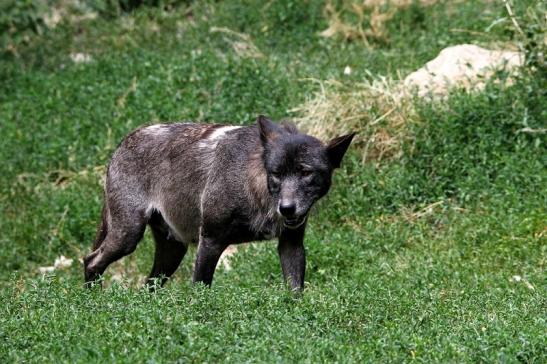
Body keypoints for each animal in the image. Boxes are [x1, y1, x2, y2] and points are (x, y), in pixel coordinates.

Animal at [82, 115, 356, 292]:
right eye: (276, 174)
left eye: (306, 173)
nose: (287, 208)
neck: (254, 185)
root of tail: (123, 143)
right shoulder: (211, 241)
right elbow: (199, 291)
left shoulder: (291, 244)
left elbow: (295, 291)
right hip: (128, 236)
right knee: (91, 260)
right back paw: (92, 303)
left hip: (173, 252)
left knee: (148, 286)